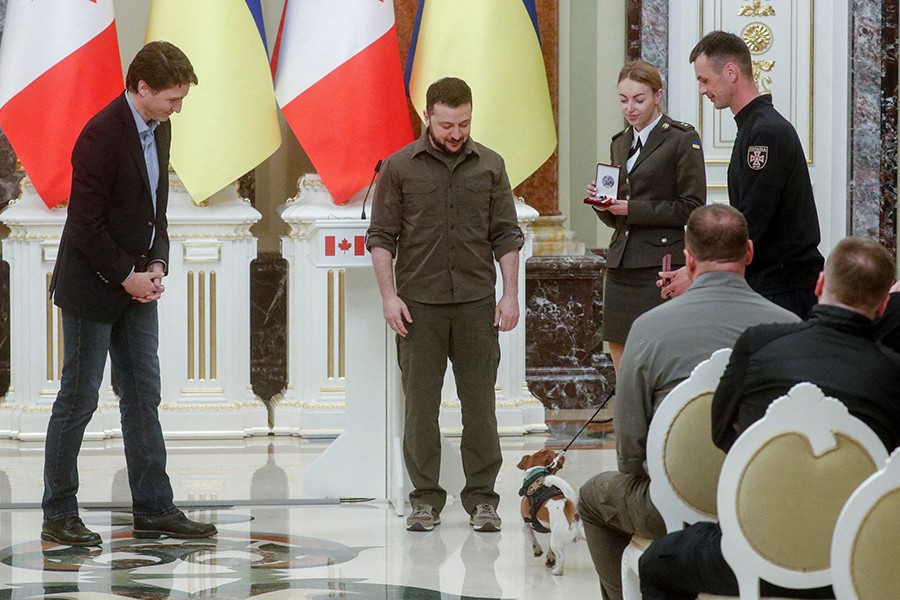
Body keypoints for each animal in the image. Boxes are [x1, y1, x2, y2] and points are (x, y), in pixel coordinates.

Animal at [520, 448, 584, 576]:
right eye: (554, 453)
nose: (561, 452)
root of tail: (572, 509)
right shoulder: (551, 530)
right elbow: (550, 550)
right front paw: (550, 559)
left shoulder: (525, 525)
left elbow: (532, 539)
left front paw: (537, 550)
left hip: (556, 541)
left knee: (562, 558)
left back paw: (557, 571)